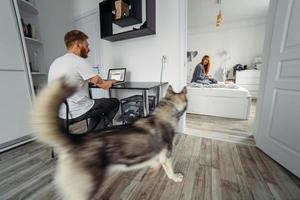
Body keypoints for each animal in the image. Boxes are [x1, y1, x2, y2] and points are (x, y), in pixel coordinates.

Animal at [32, 78, 188, 200]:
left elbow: (155, 164)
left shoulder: (157, 156)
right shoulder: (167, 157)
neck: (166, 112)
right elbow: (170, 171)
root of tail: (76, 140)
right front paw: (175, 177)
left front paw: (152, 171)